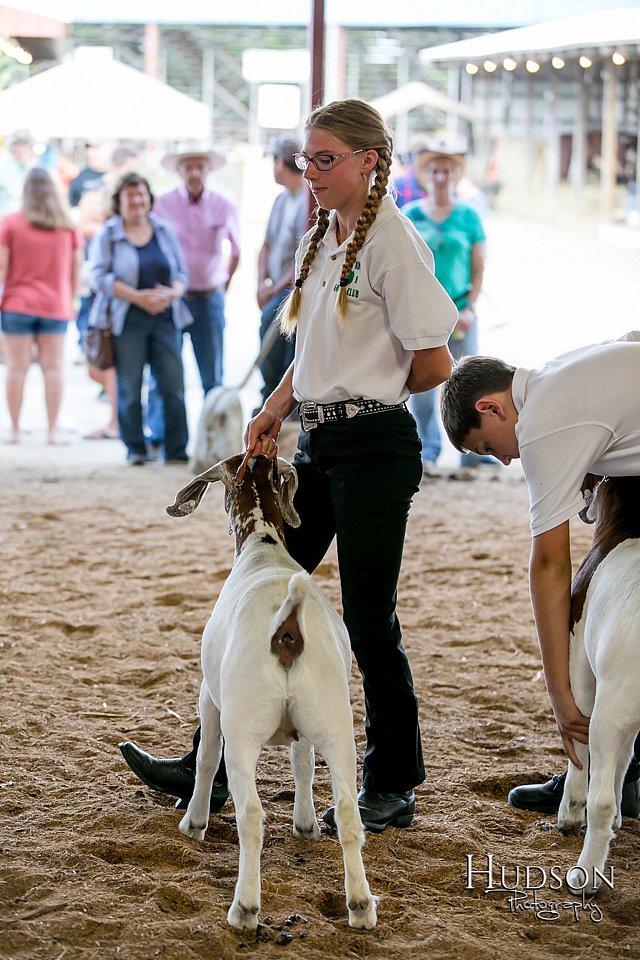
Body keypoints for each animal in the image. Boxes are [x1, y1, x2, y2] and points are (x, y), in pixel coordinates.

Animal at [165, 456, 378, 928]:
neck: (263, 546)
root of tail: (287, 626)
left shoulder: (210, 697)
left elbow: (206, 757)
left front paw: (194, 823)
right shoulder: (304, 731)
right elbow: (302, 764)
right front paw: (305, 826)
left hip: (243, 728)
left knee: (250, 814)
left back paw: (244, 908)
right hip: (335, 721)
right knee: (349, 814)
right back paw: (360, 905)